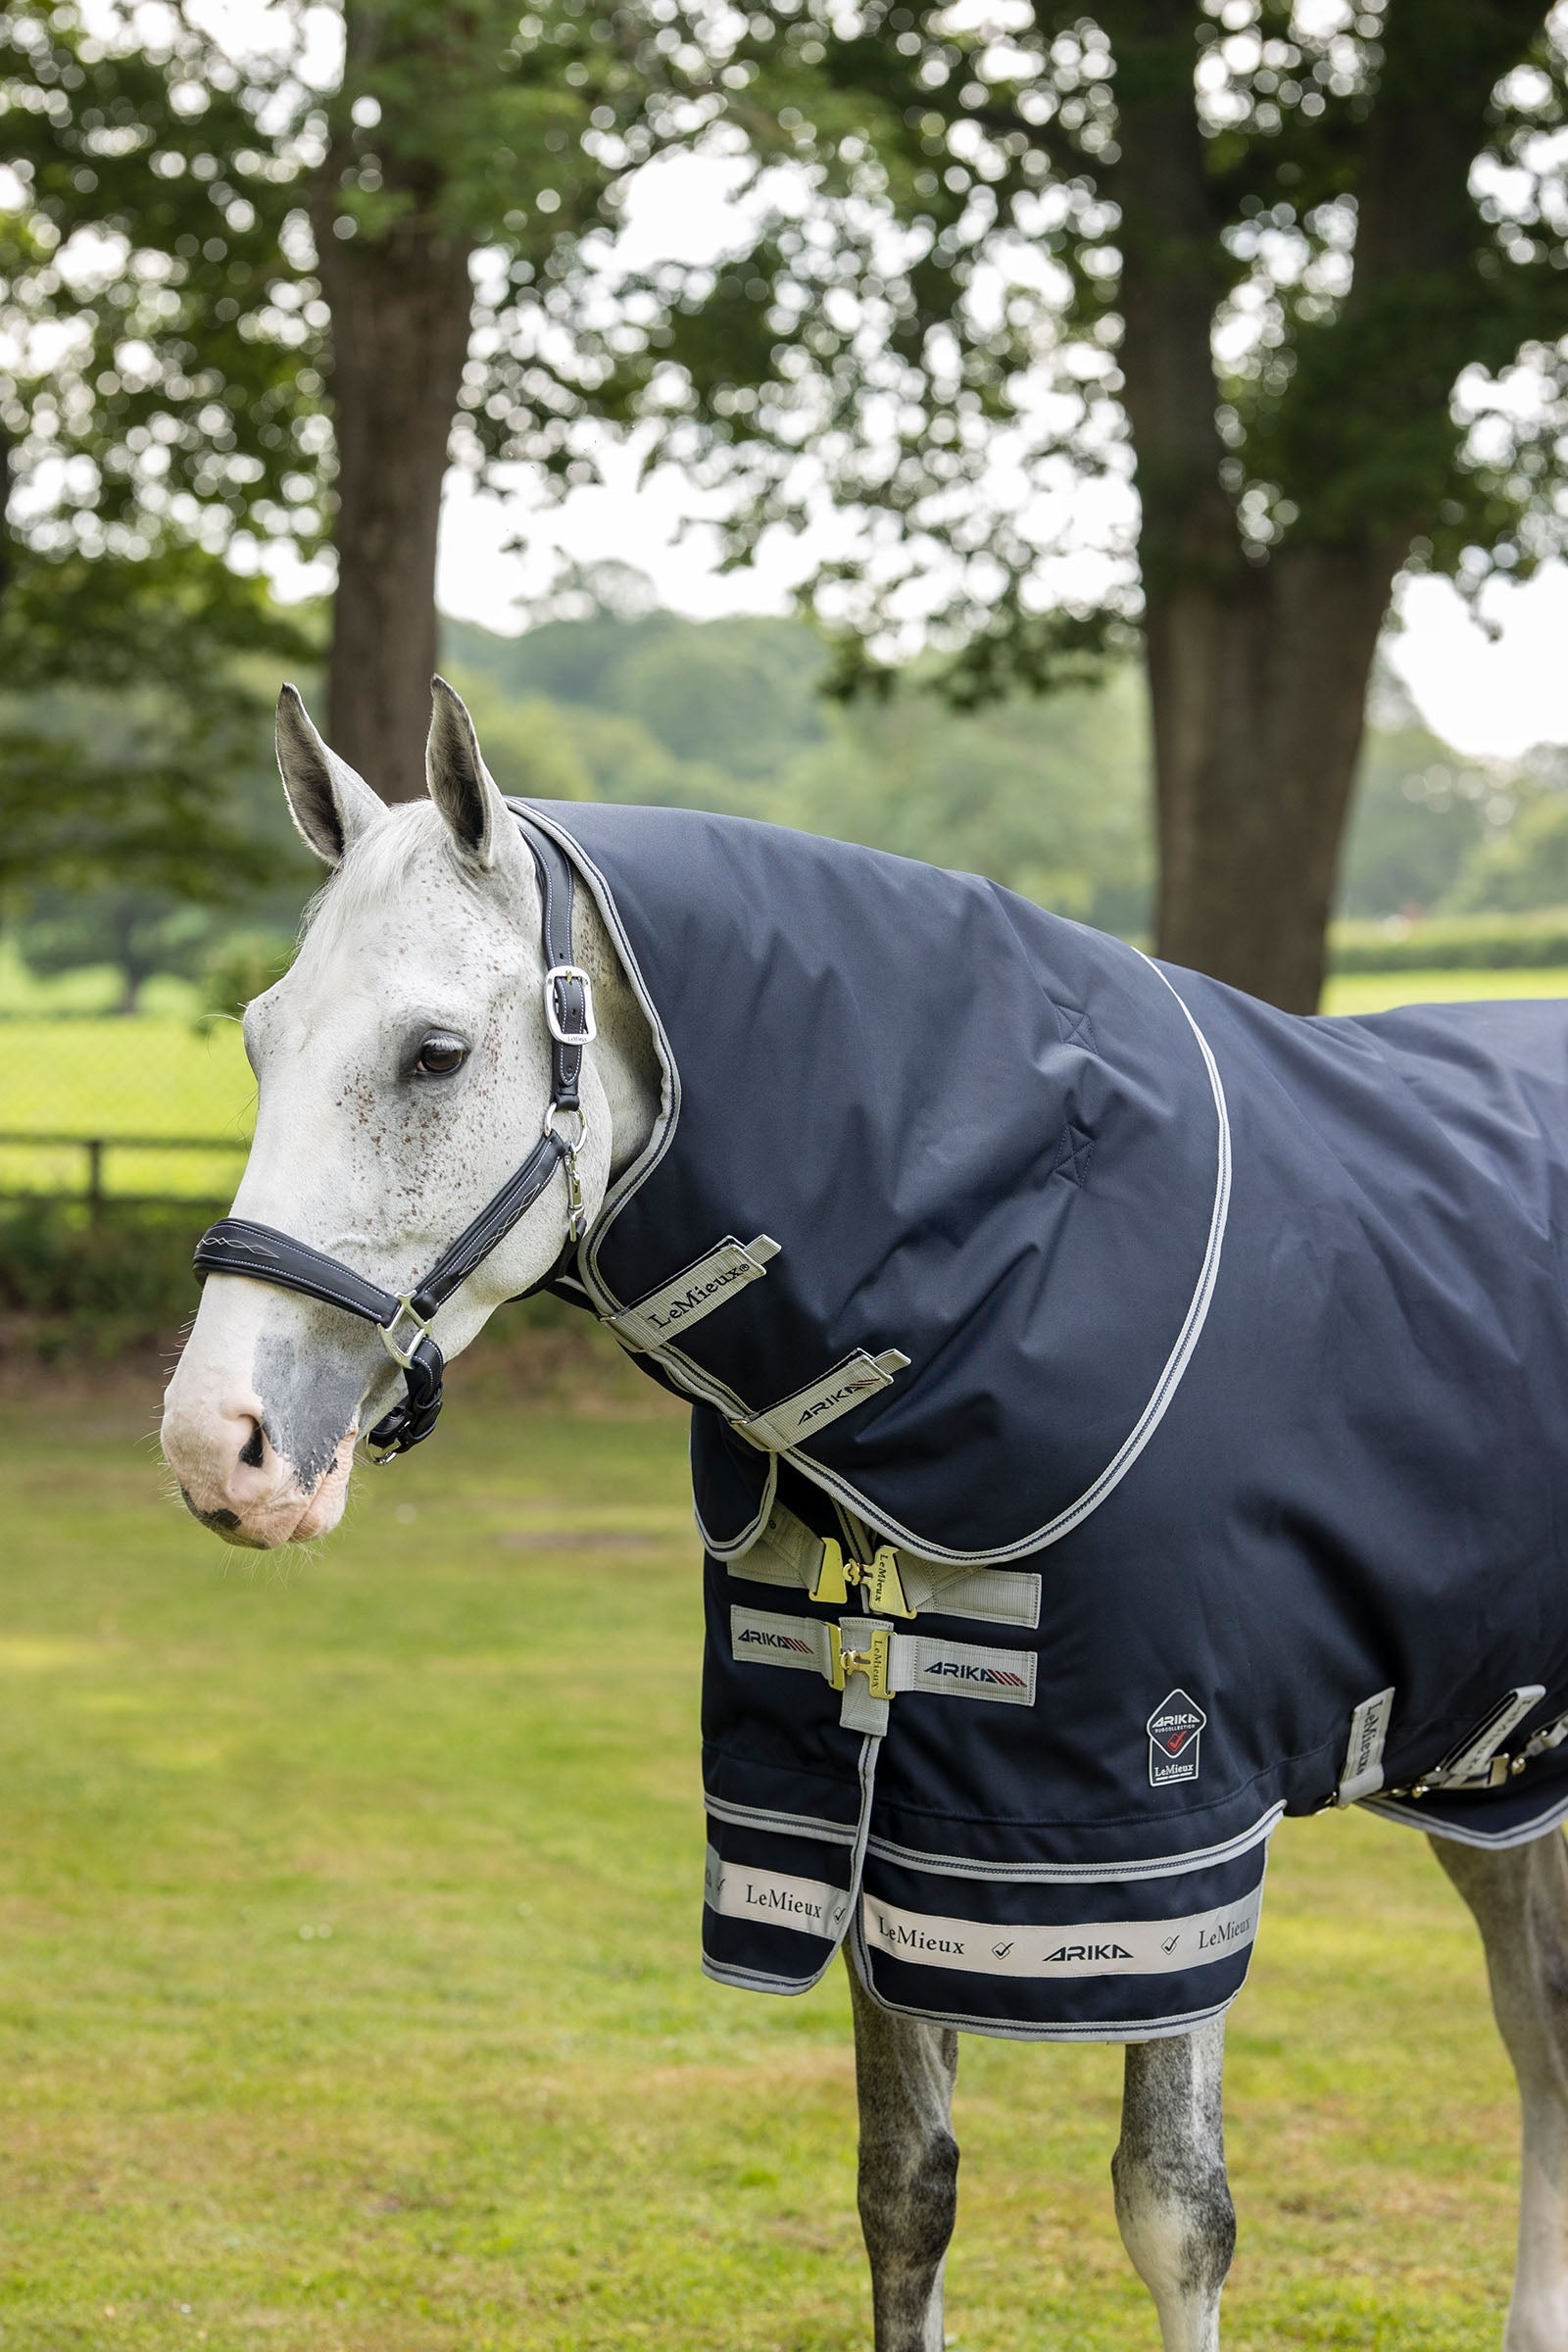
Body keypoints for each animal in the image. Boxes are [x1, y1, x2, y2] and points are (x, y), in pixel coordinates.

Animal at [163, 678, 1568, 2352]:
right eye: (260, 1038)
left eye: (435, 1053)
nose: (219, 1444)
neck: (1022, 1259)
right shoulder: (870, 1801)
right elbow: (905, 2192)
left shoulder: (1166, 1836)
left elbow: (1177, 2214)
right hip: (1490, 1767)